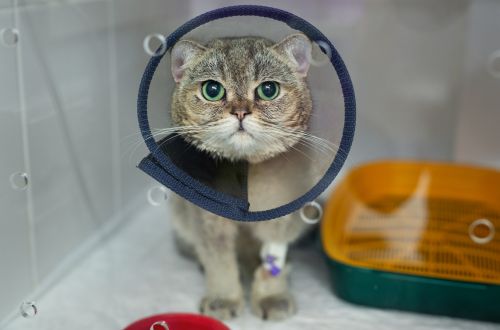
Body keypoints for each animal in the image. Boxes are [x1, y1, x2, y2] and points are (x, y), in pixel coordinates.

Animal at [167, 33, 312, 320]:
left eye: (269, 90)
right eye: (212, 90)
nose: (241, 112)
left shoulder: (282, 218)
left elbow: (272, 261)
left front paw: (271, 297)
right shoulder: (208, 223)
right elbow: (220, 263)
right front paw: (223, 299)